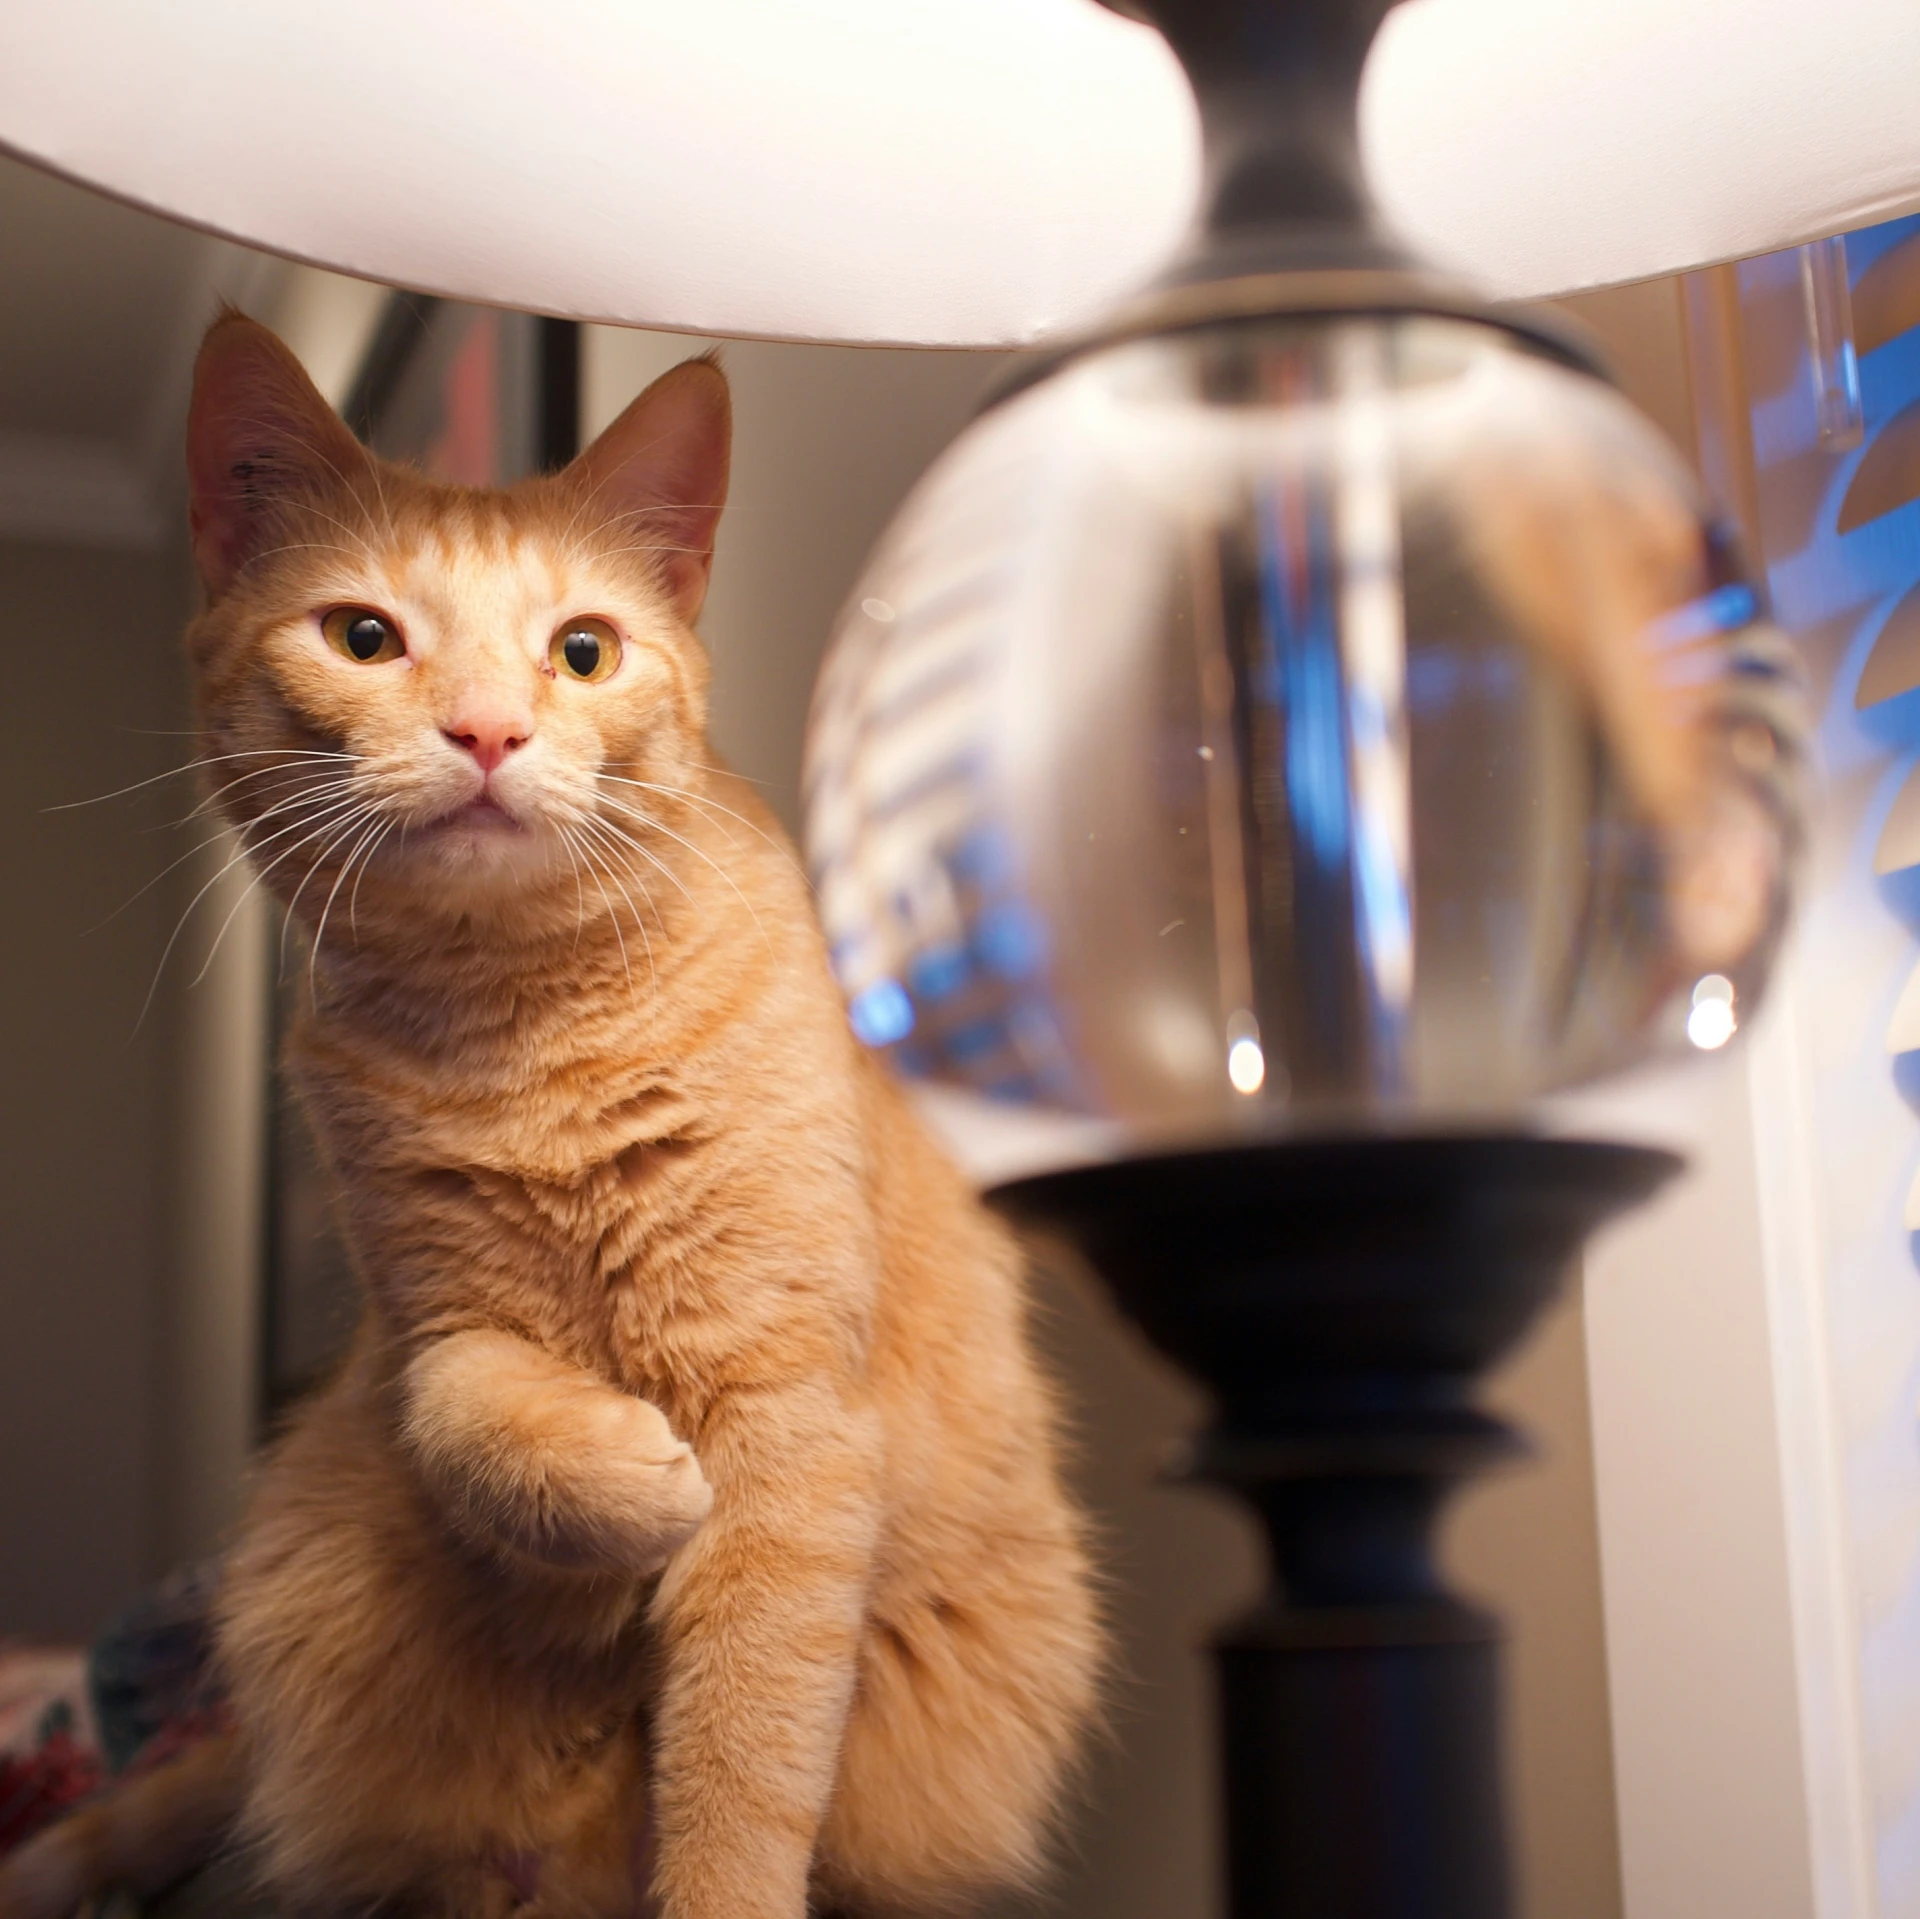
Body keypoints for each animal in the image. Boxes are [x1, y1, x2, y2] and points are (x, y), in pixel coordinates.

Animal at [0, 315, 1105, 1919]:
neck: (524, 1035)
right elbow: (468, 1411)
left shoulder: (788, 1417)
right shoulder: (427, 1328)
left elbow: (741, 1763)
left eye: (582, 650)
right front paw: (628, 1476)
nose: (487, 731)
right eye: (364, 638)